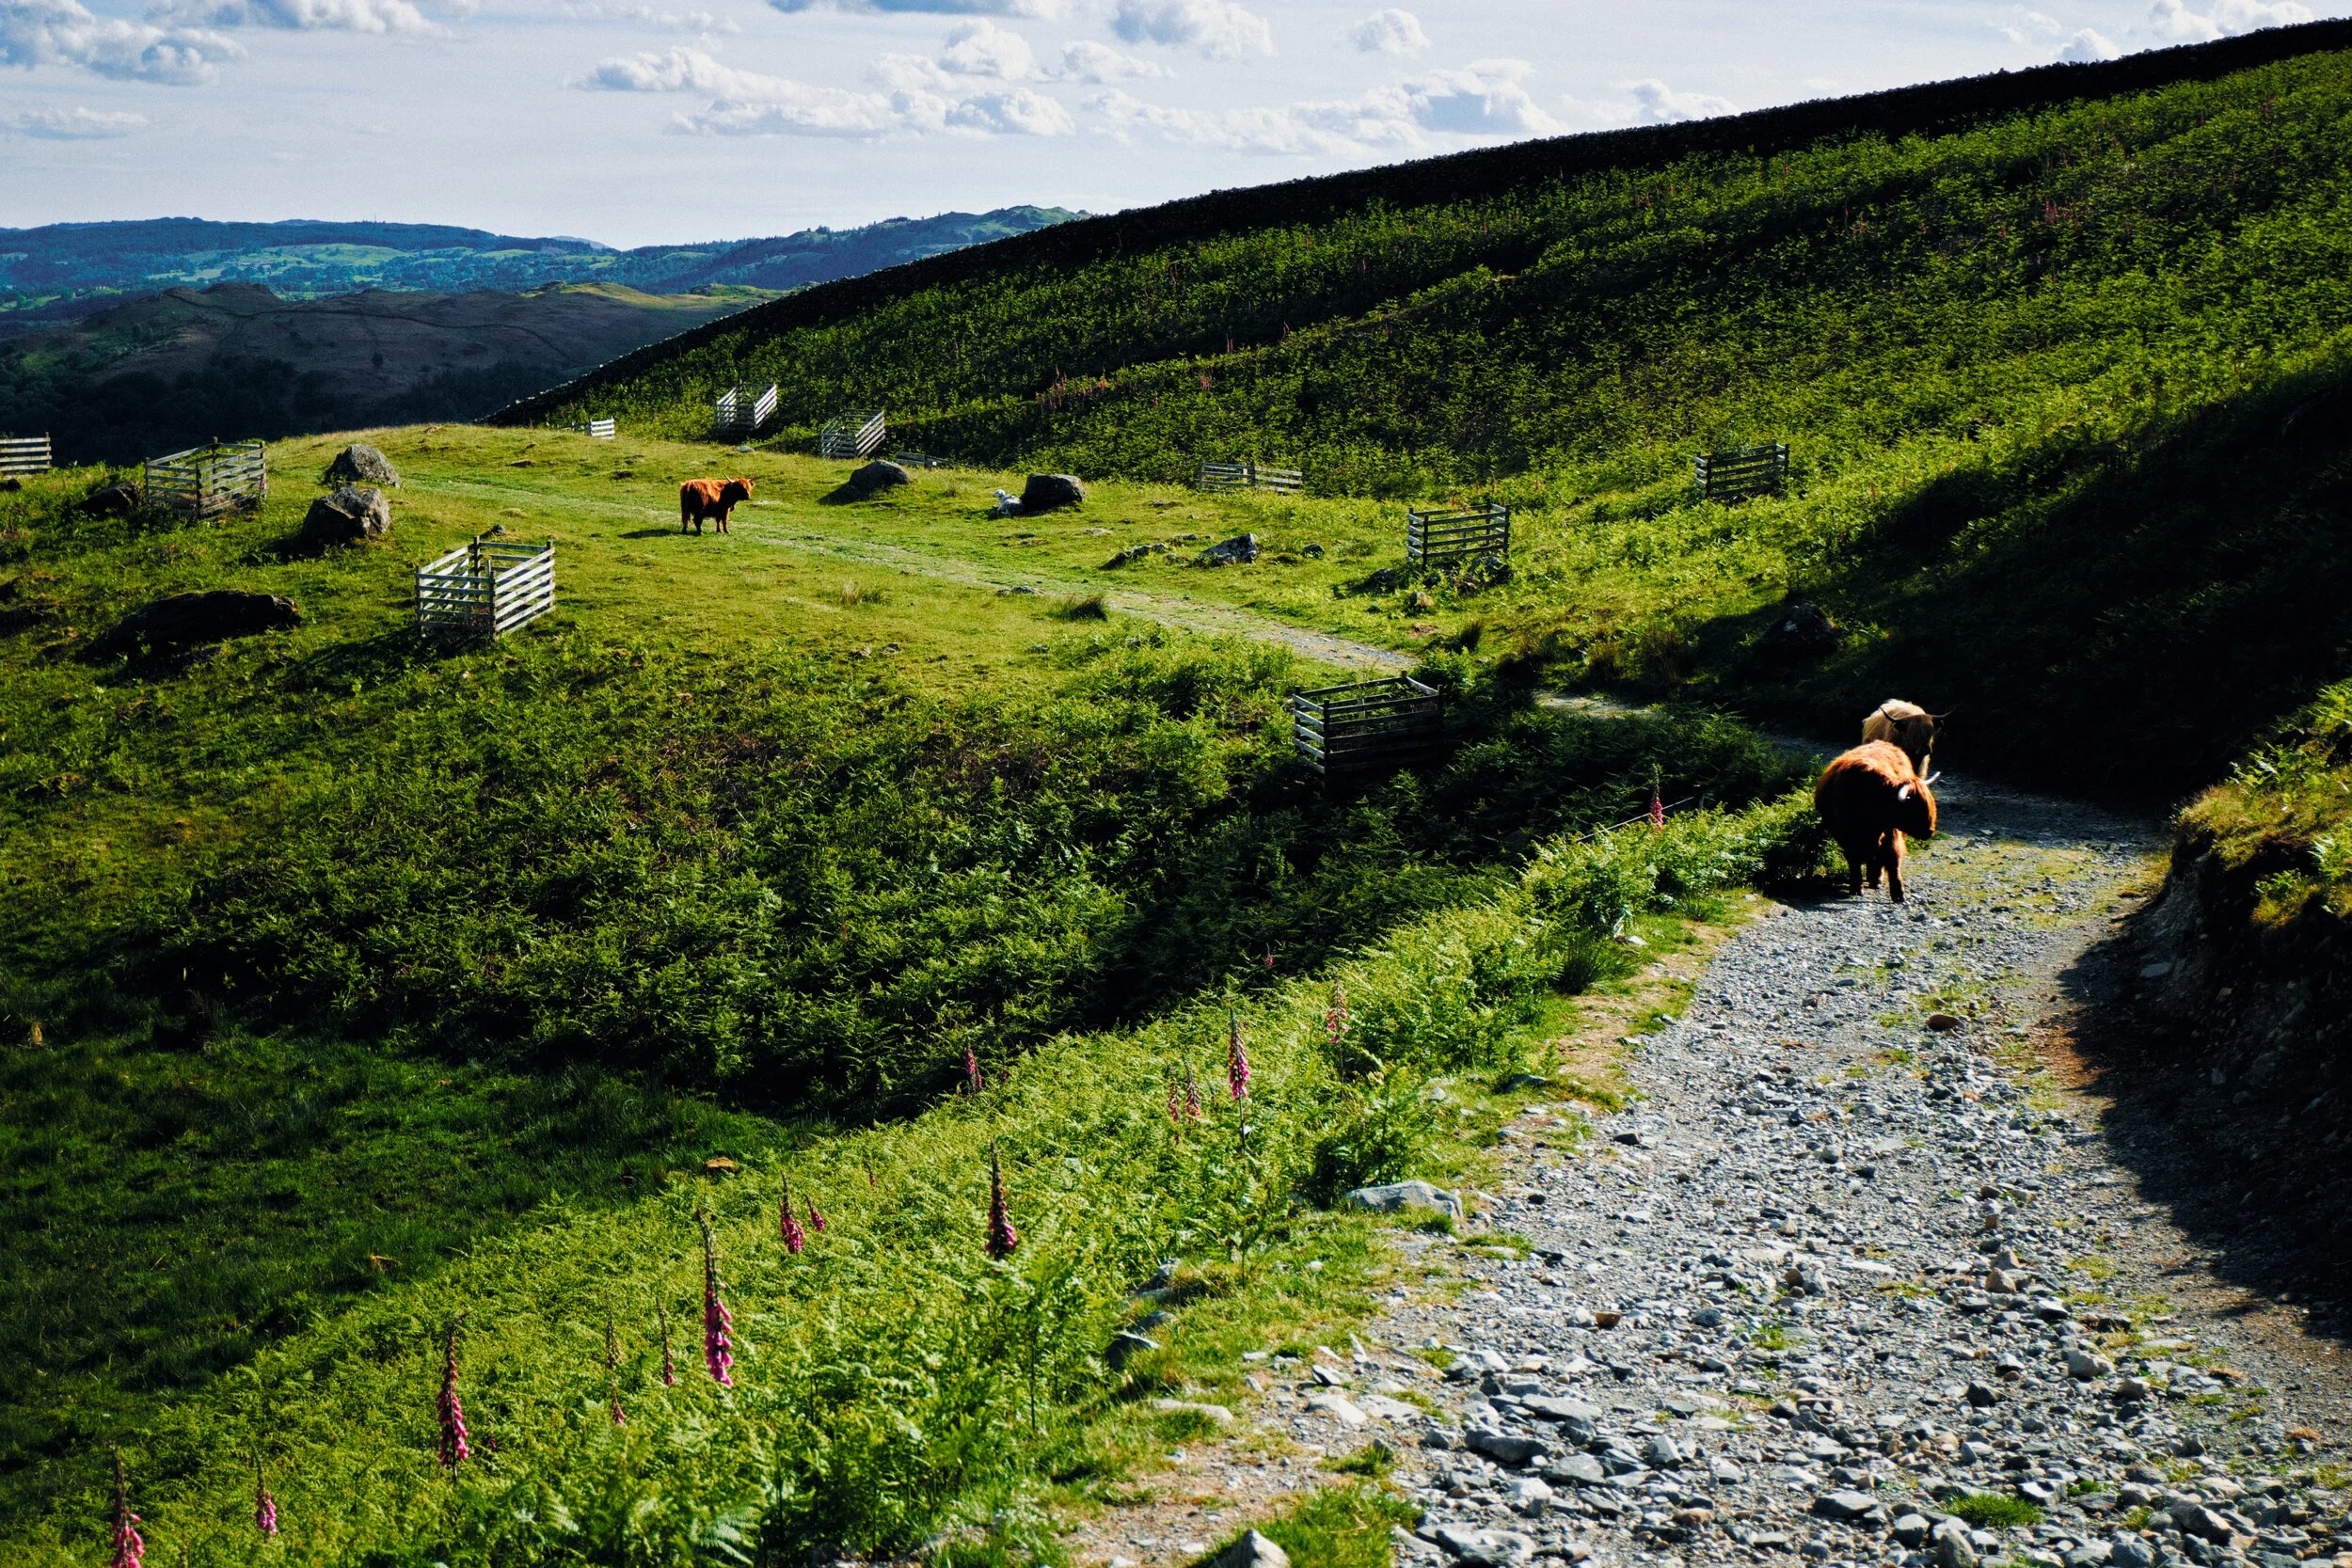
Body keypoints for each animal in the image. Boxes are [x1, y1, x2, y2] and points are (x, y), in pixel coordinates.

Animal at [1814, 740, 1939, 902]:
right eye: (1915, 808)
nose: (1930, 831)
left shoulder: (1891, 834)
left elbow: (1893, 862)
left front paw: (1898, 893)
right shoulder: (1848, 838)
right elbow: (1854, 861)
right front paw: (1856, 887)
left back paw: (1876, 880)